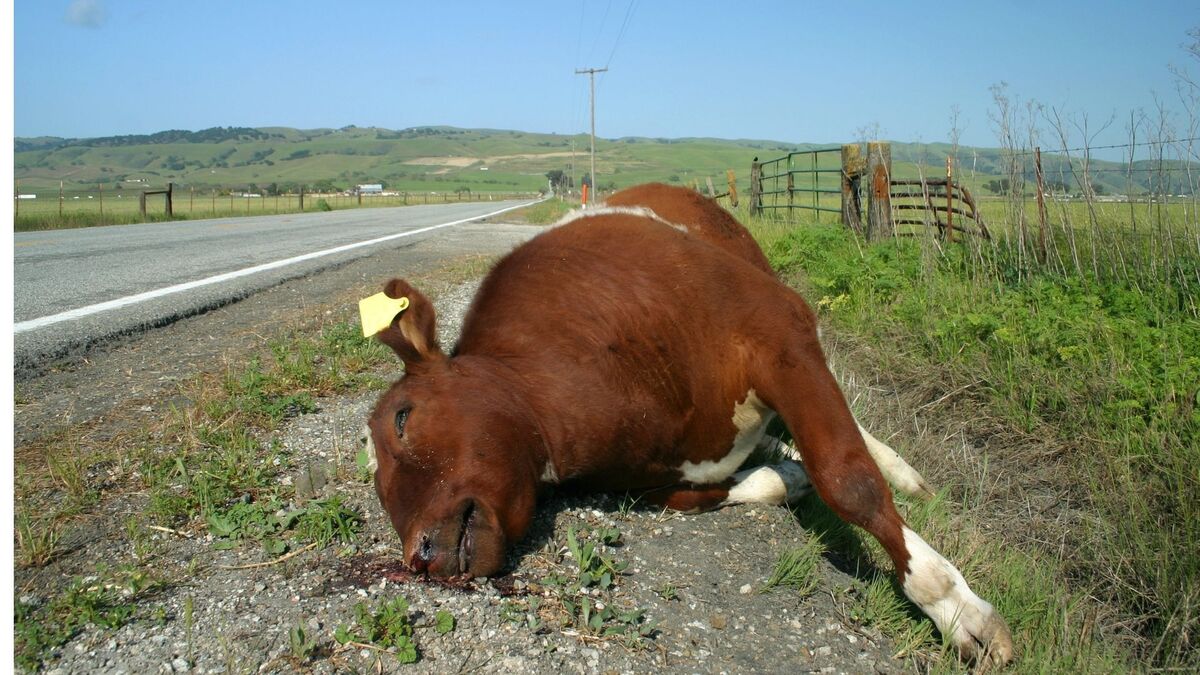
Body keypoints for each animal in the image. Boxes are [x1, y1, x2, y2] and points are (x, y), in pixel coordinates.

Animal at [364, 182, 1012, 662]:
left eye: (401, 420)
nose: (419, 558)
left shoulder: (782, 333)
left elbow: (849, 480)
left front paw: (957, 610)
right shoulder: (659, 479)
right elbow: (748, 486)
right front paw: (790, 479)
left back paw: (906, 476)